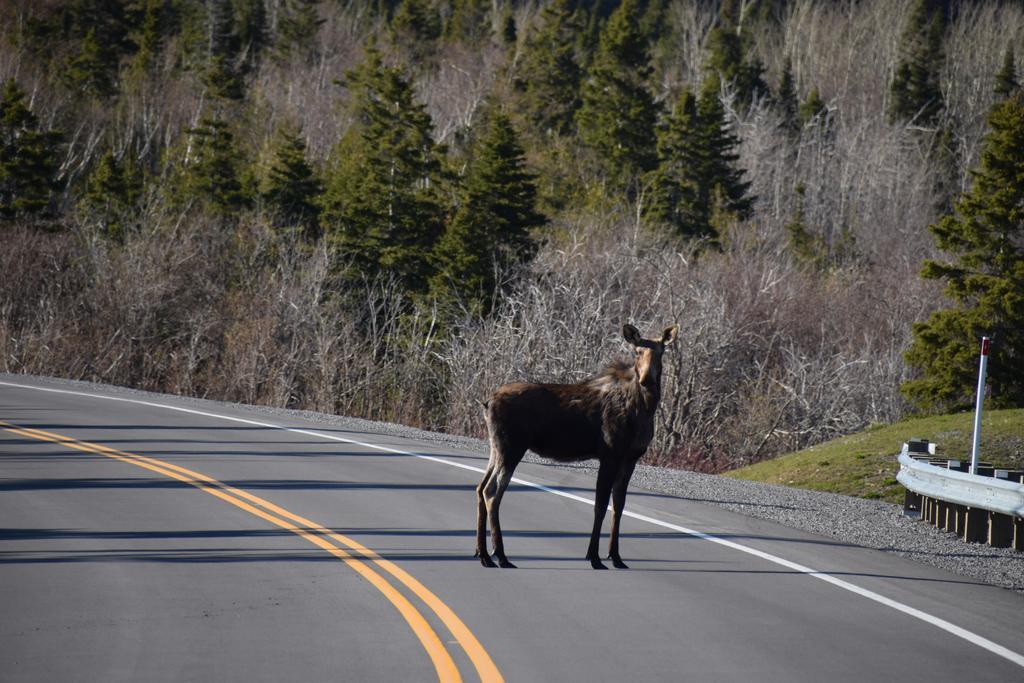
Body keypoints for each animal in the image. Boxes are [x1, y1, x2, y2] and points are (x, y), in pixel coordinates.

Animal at [473, 323, 679, 569]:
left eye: (660, 352)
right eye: (637, 352)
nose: (646, 379)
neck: (644, 409)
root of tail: (487, 402)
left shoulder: (630, 458)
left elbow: (619, 505)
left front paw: (616, 557)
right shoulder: (609, 454)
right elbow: (600, 505)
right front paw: (595, 557)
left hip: (495, 448)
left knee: (480, 487)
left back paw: (483, 554)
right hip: (511, 448)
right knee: (491, 491)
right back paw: (500, 556)